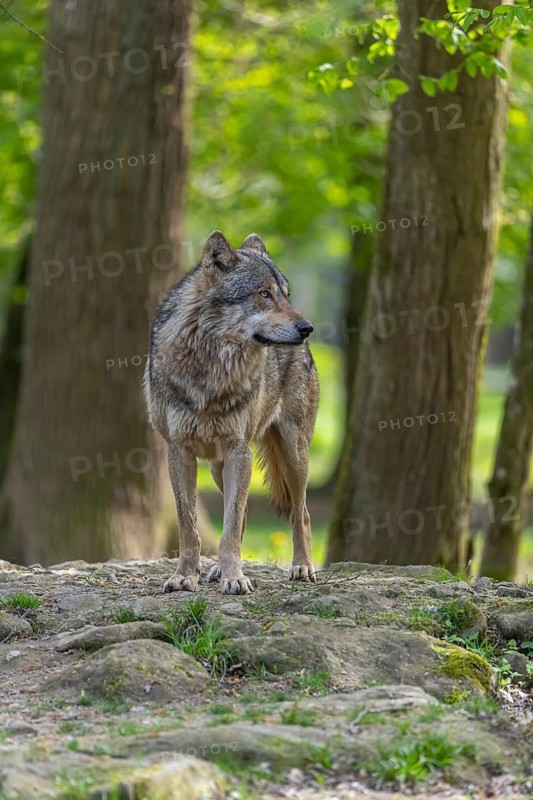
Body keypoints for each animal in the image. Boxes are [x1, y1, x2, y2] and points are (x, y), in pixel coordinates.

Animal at [144, 230, 319, 595]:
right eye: (263, 294)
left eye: (286, 295)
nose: (308, 328)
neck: (211, 368)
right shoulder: (179, 452)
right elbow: (190, 527)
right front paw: (185, 577)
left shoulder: (239, 450)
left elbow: (230, 526)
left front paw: (235, 578)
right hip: (217, 466)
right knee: (244, 517)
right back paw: (217, 570)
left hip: (294, 456)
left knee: (301, 514)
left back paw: (302, 567)